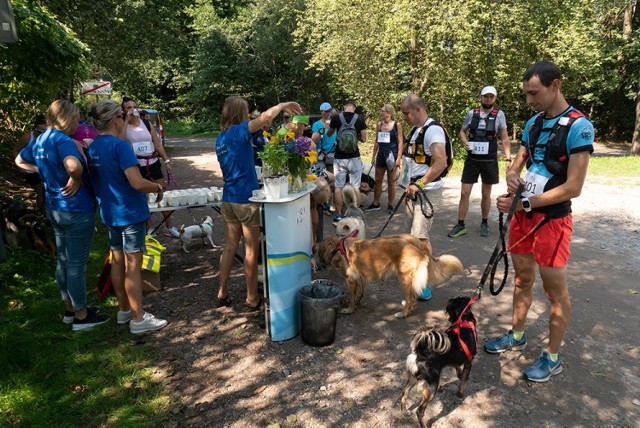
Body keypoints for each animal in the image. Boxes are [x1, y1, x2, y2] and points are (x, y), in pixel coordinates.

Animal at [316, 234, 462, 318]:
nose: (319, 265)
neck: (337, 247)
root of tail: (418, 244)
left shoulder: (350, 280)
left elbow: (352, 296)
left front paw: (350, 309)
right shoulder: (360, 278)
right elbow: (359, 292)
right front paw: (357, 301)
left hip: (404, 277)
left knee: (411, 297)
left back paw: (403, 313)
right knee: (412, 296)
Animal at [398, 298, 478, 428]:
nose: (450, 320)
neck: (463, 321)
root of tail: (420, 351)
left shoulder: (454, 360)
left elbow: (457, 368)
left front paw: (459, 375)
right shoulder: (468, 362)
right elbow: (464, 380)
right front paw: (460, 393)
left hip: (413, 378)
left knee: (403, 394)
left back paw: (405, 411)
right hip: (432, 387)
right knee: (420, 411)